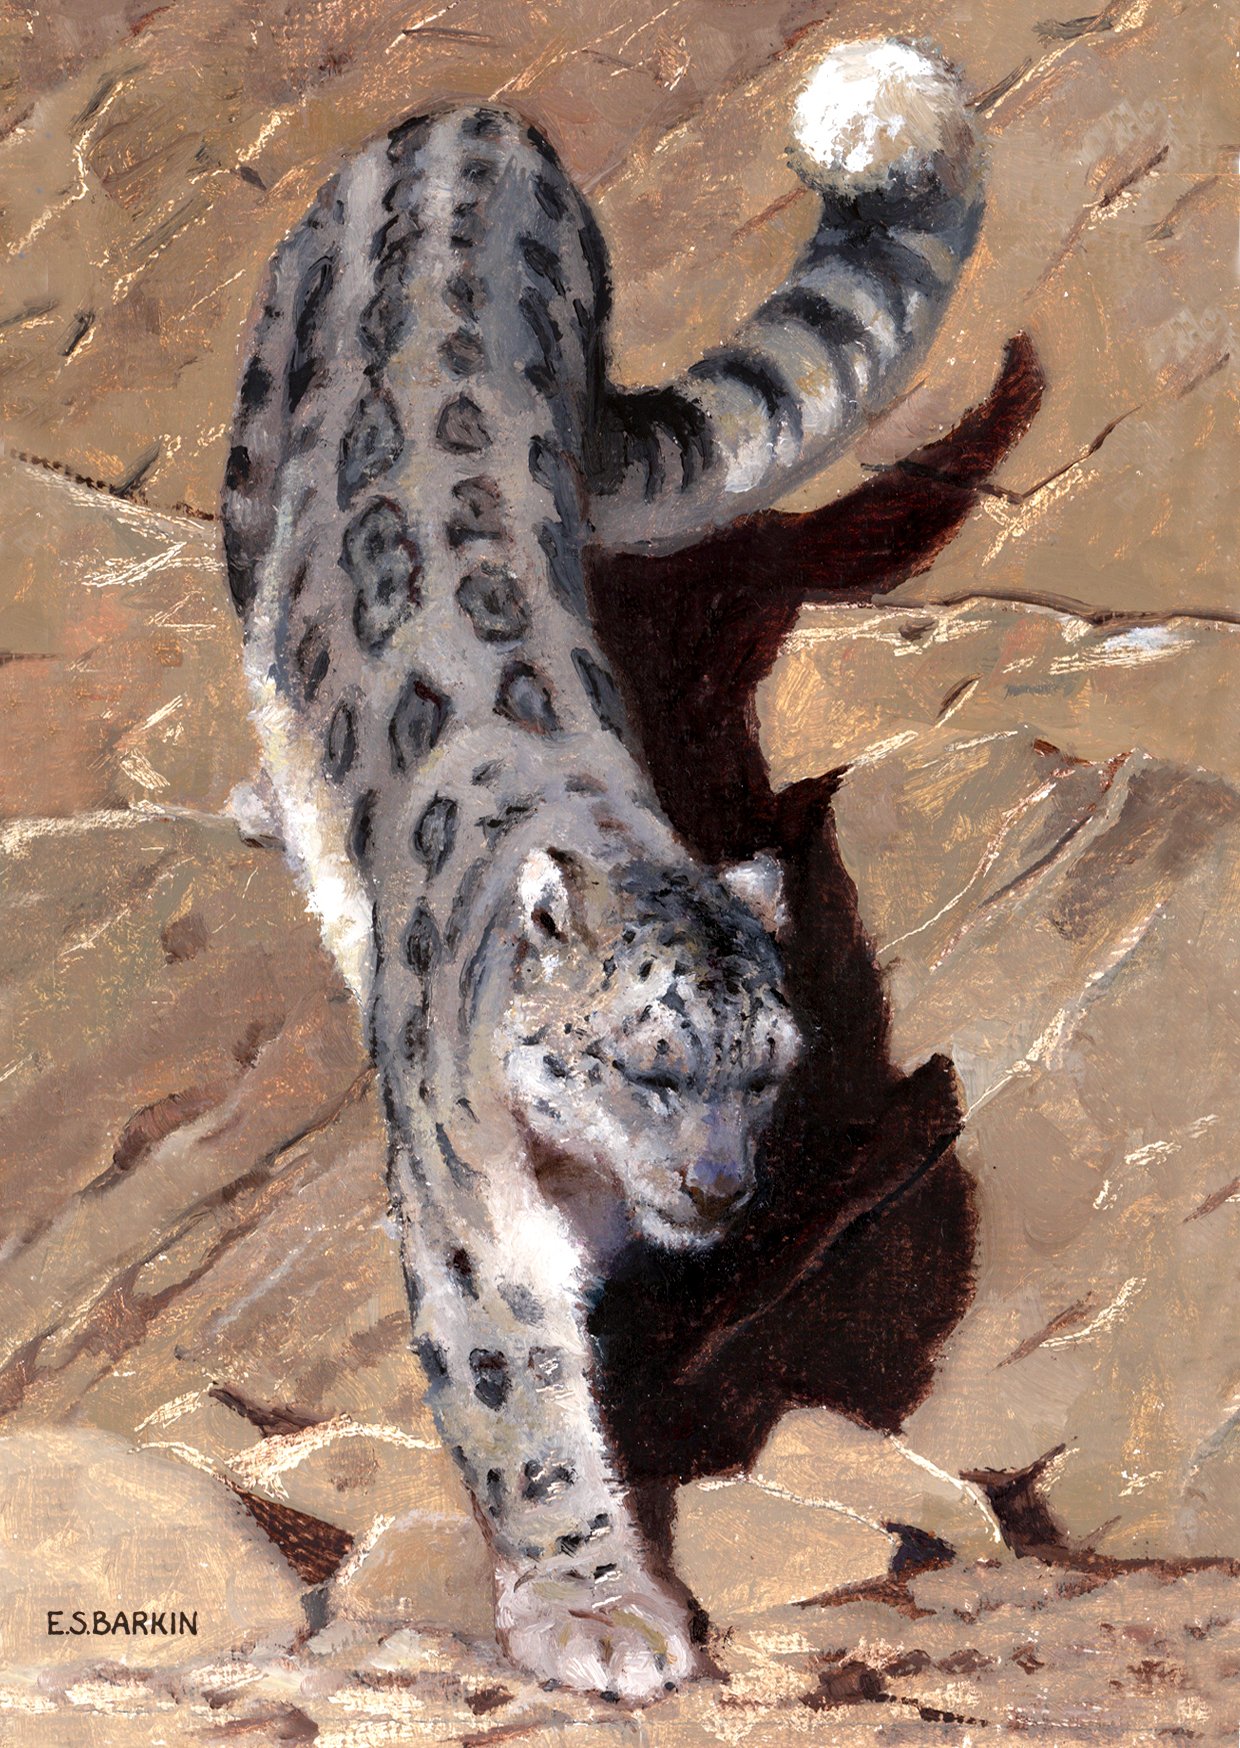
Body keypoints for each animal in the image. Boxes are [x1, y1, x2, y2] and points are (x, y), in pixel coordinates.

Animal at [220, 38, 984, 1702]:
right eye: (643, 1065)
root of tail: (474, 124)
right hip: (250, 488)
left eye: (769, 1072)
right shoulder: (472, 1221)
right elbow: (520, 1407)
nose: (717, 1187)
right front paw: (598, 1612)